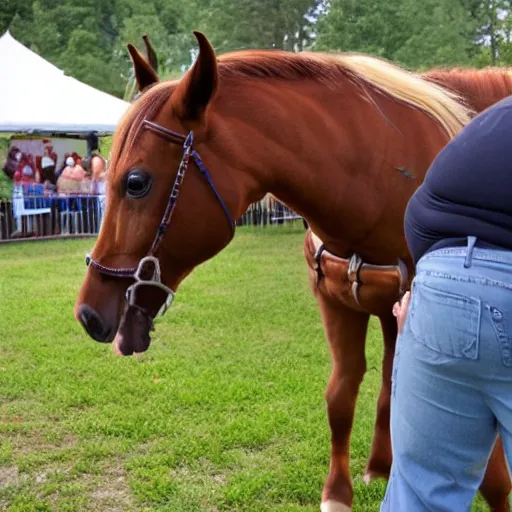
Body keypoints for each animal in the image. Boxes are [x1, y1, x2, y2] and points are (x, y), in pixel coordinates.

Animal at [76, 34, 512, 510]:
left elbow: (489, 468)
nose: (88, 313)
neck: (385, 176)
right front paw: (338, 492)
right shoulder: (337, 301)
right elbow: (341, 395)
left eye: (136, 182)